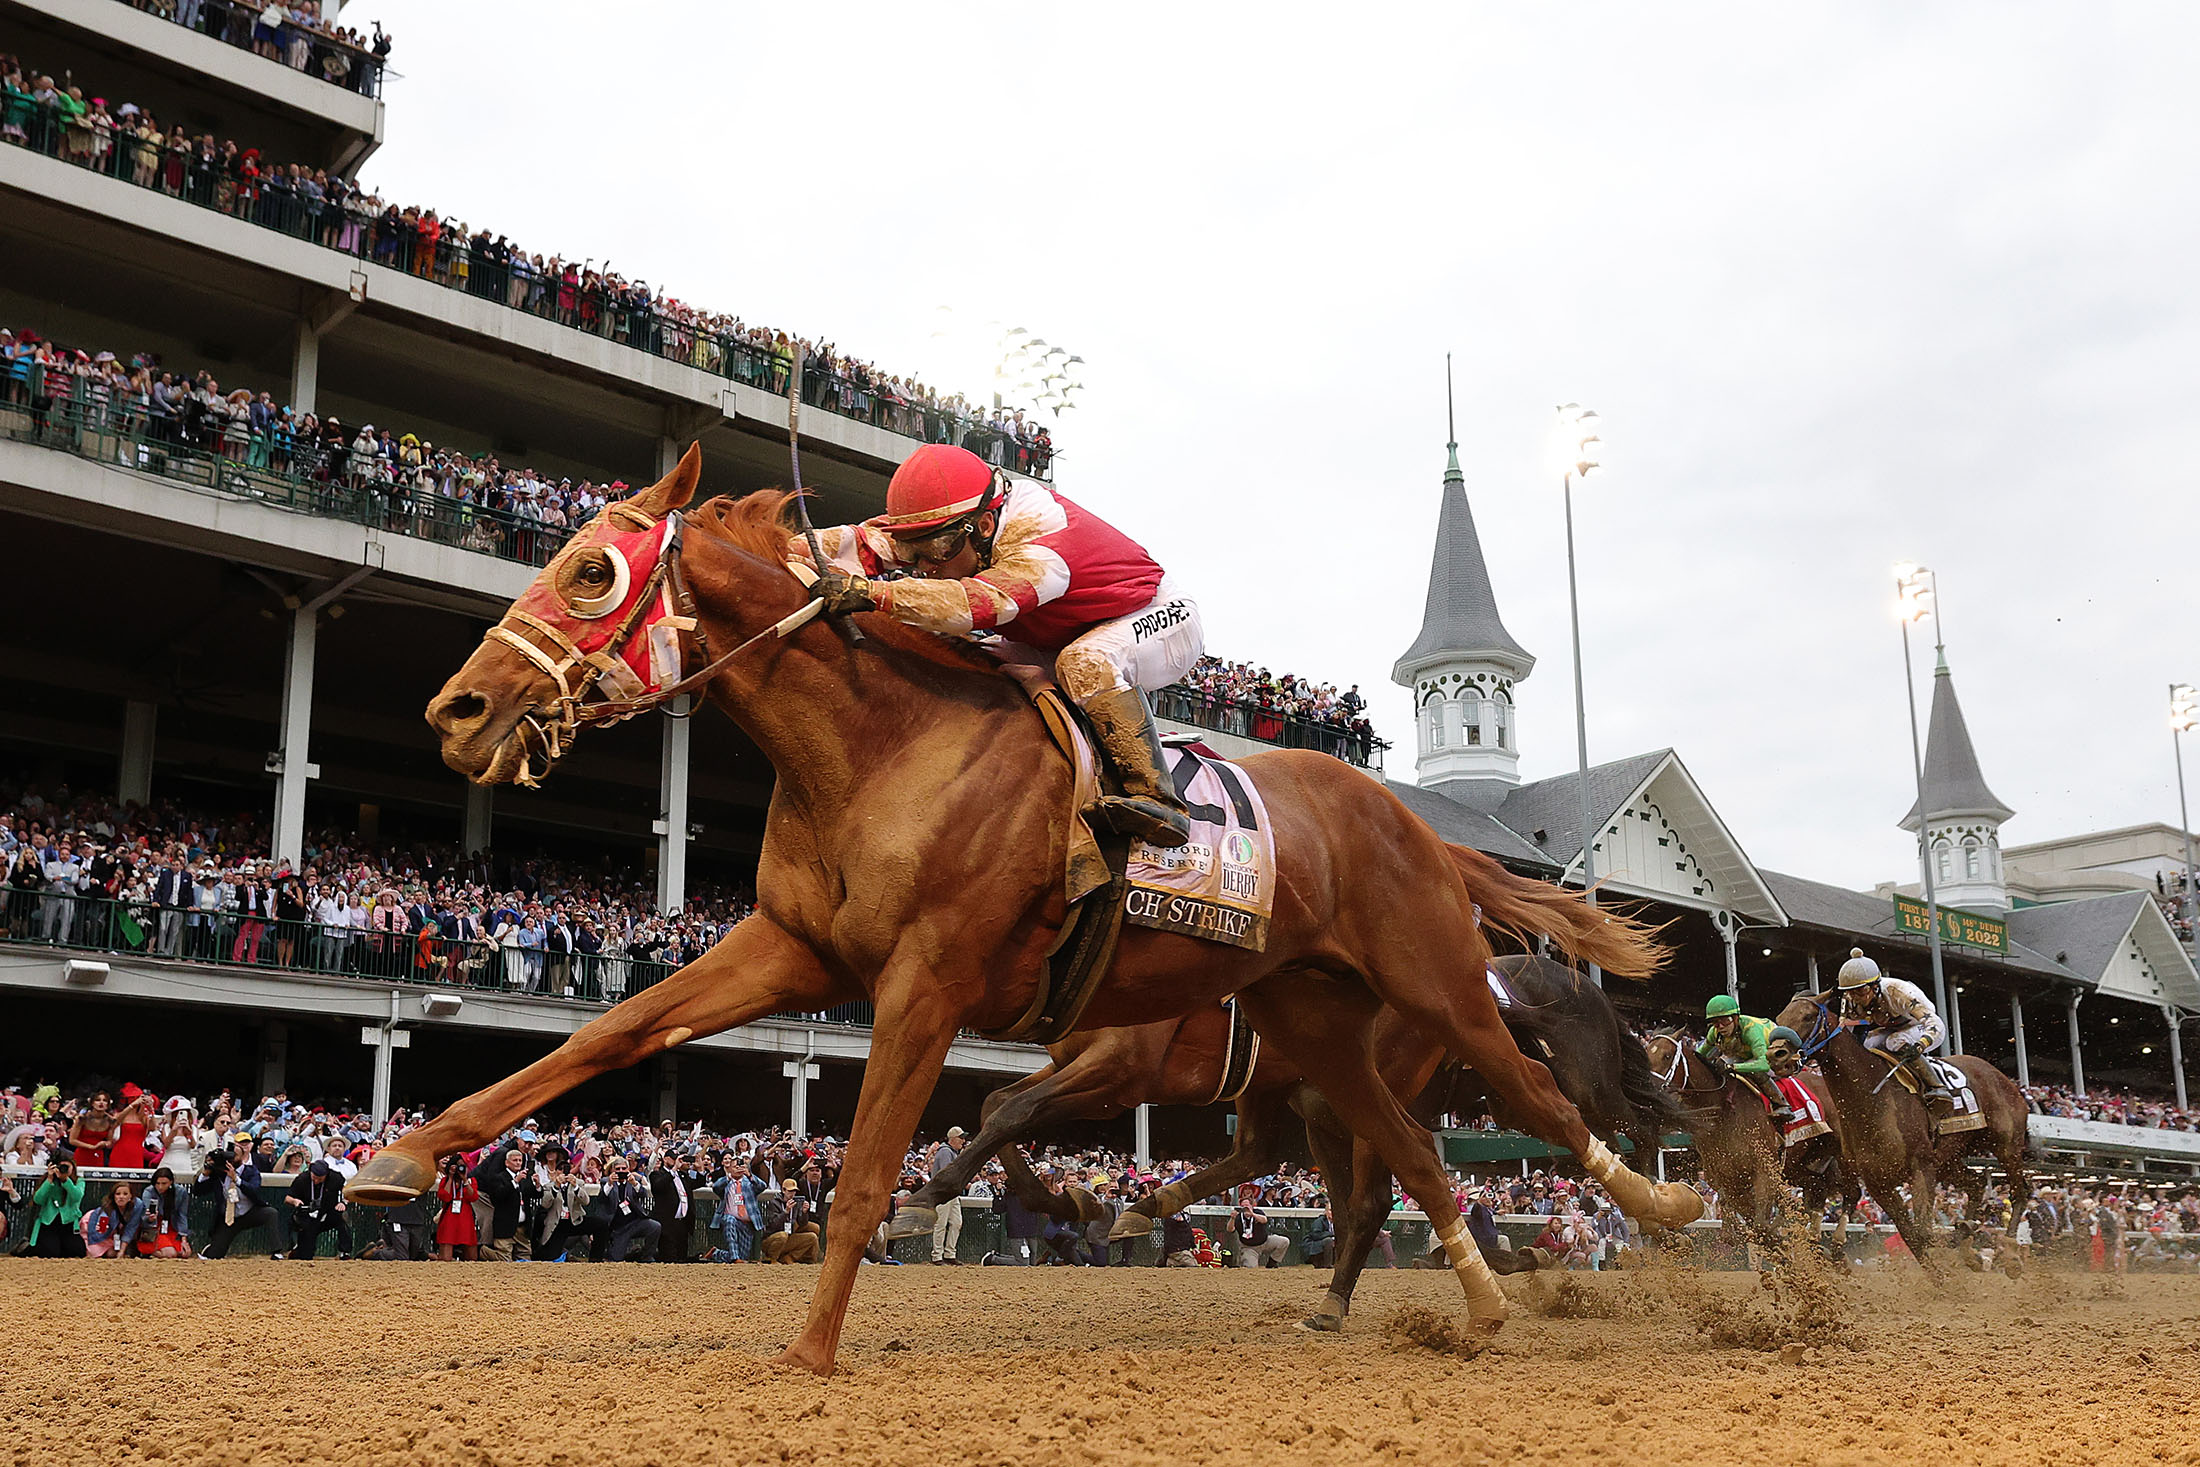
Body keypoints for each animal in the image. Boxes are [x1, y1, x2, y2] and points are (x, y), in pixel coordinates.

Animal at [347, 450, 1698, 1381]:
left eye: (589, 571)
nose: (456, 711)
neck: (884, 747)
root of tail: (1417, 823)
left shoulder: (931, 983)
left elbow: (872, 1169)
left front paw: (814, 1347)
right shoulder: (793, 949)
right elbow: (606, 1034)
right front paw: (401, 1156)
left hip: (1429, 982)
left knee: (1531, 1104)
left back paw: (1668, 1213)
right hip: (1311, 1020)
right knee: (1405, 1158)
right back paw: (1471, 1301)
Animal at [1768, 994, 2024, 1258]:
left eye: (1808, 1016)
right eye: (1779, 1018)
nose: (1775, 1055)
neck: (1871, 1097)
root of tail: (2003, 1078)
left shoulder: (1921, 1168)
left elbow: (1922, 1233)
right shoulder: (1879, 1182)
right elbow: (1912, 1237)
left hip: (2005, 1145)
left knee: (2020, 1193)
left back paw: (2008, 1246)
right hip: (1948, 1159)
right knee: (1976, 1183)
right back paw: (1964, 1235)